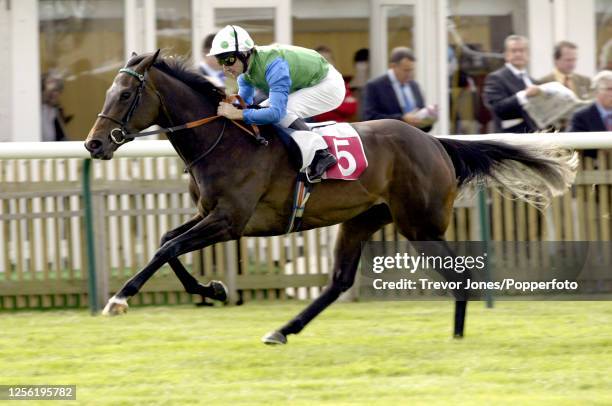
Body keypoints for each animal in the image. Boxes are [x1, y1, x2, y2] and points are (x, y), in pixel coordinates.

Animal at [83, 49, 576, 344]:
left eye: (124, 94)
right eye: (107, 91)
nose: (94, 144)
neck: (224, 140)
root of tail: (435, 142)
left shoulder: (230, 221)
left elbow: (167, 248)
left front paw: (120, 298)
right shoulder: (211, 215)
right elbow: (167, 241)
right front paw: (214, 289)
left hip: (420, 225)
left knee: (461, 275)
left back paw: (456, 334)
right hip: (362, 220)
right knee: (339, 281)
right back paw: (284, 330)